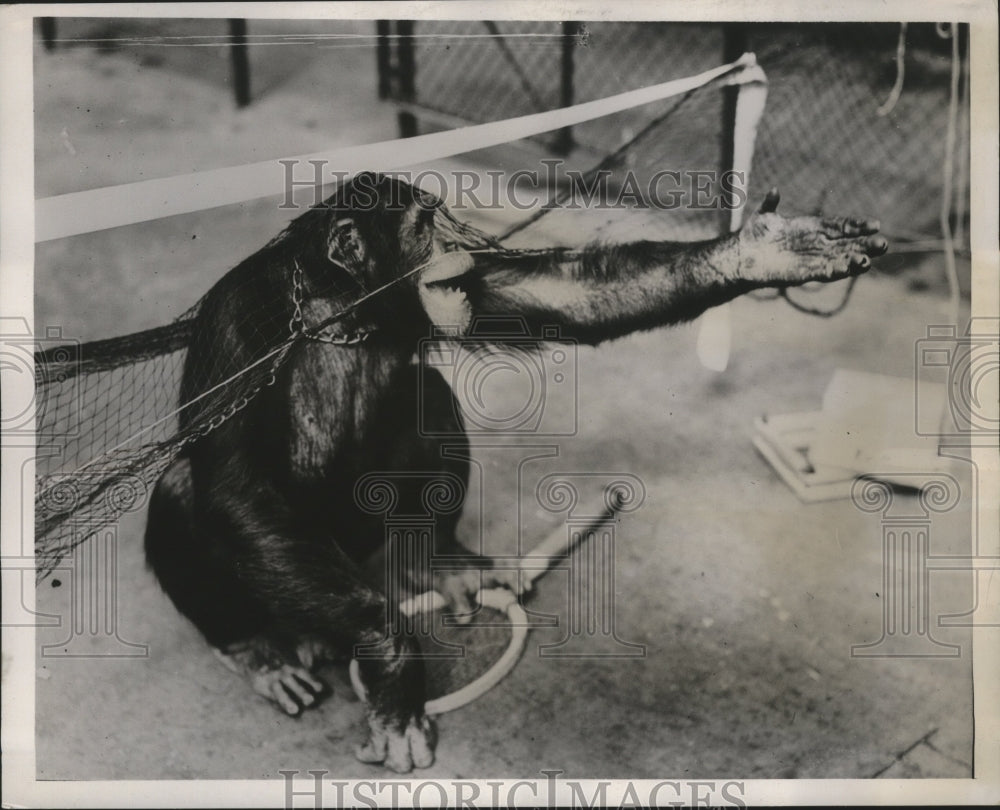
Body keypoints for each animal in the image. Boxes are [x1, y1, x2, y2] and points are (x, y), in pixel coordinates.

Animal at [144, 172, 887, 772]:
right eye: (423, 224)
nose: (454, 237)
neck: (340, 306)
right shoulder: (240, 328)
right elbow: (236, 488)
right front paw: (391, 665)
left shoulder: (472, 293)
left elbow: (559, 294)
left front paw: (771, 249)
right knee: (184, 492)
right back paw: (257, 651)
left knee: (429, 393)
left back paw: (438, 562)